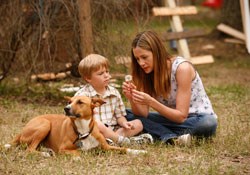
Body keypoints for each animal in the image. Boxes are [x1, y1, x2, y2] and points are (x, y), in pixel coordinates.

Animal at [5, 95, 146, 154]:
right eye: (69, 101)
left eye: (80, 102)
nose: (66, 108)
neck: (83, 130)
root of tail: (21, 132)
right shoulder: (63, 149)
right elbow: (77, 153)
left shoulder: (106, 147)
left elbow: (124, 149)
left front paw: (139, 151)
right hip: (45, 124)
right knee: (30, 150)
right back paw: (45, 153)